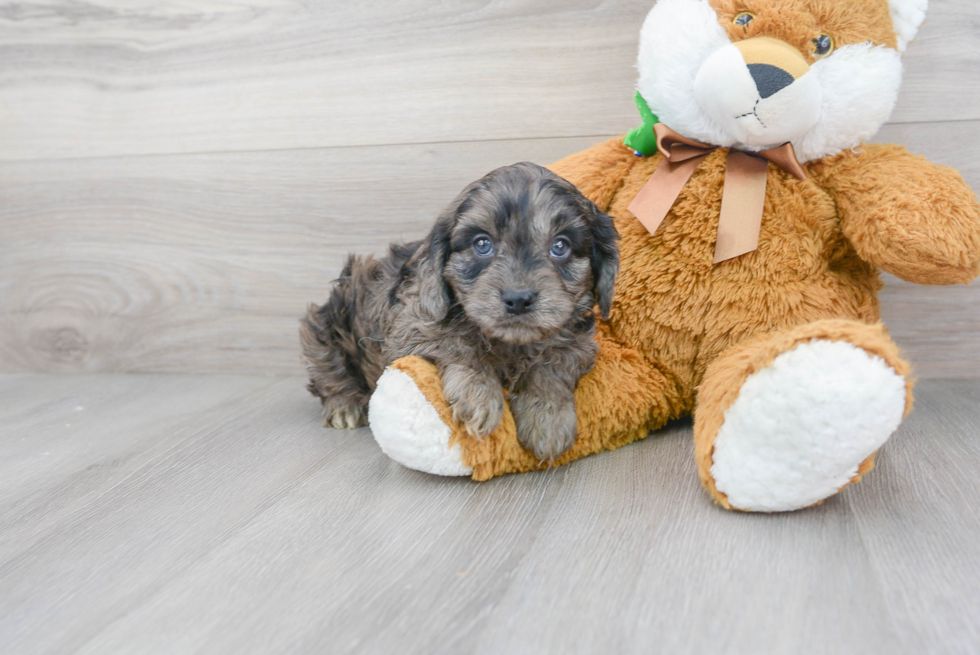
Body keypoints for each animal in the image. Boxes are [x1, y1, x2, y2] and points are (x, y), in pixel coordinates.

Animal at [300, 162, 620, 464]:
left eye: (560, 246)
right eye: (482, 244)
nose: (518, 299)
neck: (510, 343)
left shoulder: (580, 344)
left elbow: (554, 365)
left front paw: (548, 416)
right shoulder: (411, 327)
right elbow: (457, 344)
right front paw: (479, 394)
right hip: (326, 323)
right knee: (327, 368)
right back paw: (343, 405)